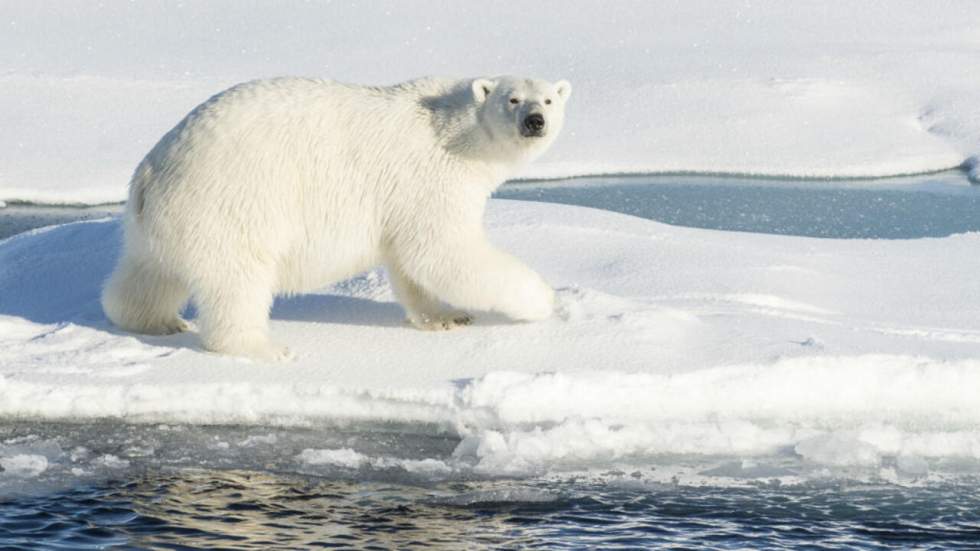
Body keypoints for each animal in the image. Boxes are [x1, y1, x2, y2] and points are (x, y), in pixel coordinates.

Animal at [100, 76, 572, 362]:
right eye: (512, 99)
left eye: (549, 99)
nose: (535, 121)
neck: (451, 130)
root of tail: (152, 171)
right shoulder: (432, 177)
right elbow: (443, 251)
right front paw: (542, 300)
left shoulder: (405, 198)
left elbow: (411, 263)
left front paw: (445, 317)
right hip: (230, 206)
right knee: (237, 282)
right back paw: (264, 347)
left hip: (162, 223)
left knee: (149, 273)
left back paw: (156, 320)